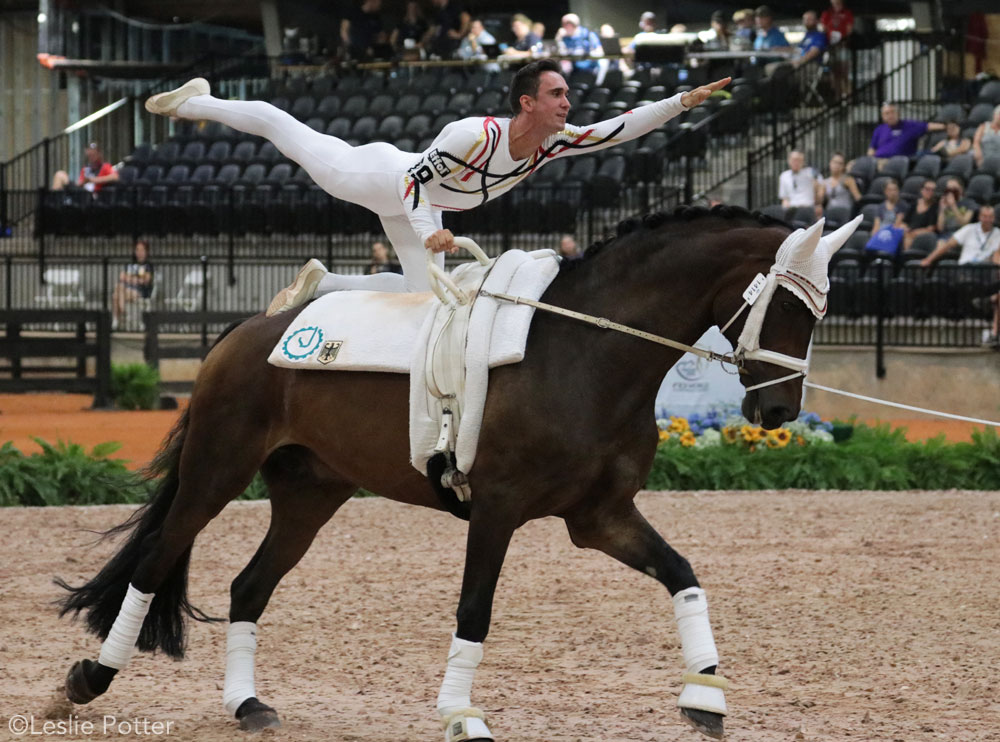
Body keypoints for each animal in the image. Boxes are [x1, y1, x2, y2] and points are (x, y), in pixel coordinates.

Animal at [54, 206, 852, 740]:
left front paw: (704, 698)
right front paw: (461, 714)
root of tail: (253, 327)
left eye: (821, 312)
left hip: (311, 491)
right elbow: (475, 610)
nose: (779, 410)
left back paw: (246, 705)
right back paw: (88, 679)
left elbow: (683, 574)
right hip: (218, 470)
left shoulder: (600, 517)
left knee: (249, 586)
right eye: (786, 303)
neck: (588, 355)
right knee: (155, 562)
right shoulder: (498, 508)